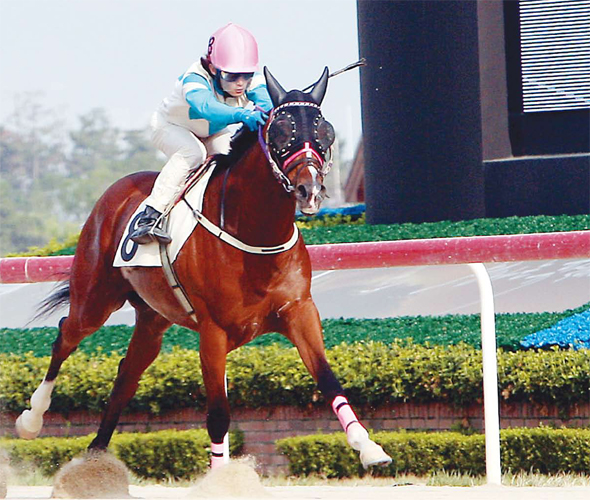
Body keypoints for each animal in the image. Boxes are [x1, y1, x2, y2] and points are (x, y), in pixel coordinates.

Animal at [16, 67, 394, 476]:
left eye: (326, 132)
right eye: (280, 132)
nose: (309, 190)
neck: (255, 235)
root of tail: (114, 192)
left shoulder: (299, 312)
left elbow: (328, 379)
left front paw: (369, 447)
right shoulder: (213, 331)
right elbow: (217, 414)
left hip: (153, 318)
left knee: (126, 375)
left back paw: (96, 457)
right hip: (95, 298)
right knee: (65, 336)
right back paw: (31, 420)